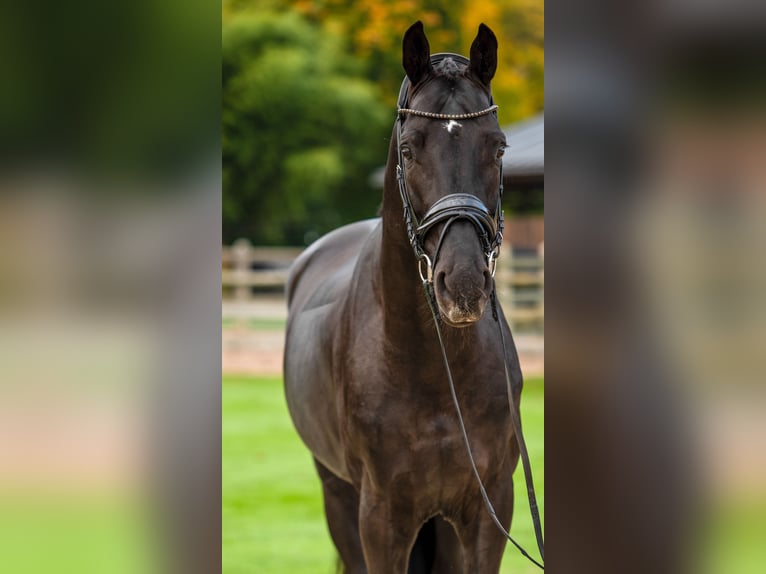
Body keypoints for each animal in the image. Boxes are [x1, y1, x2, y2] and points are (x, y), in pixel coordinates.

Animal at [284, 20, 532, 572]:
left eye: (499, 147)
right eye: (409, 149)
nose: (463, 285)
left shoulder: (489, 511)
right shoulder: (381, 518)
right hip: (338, 494)